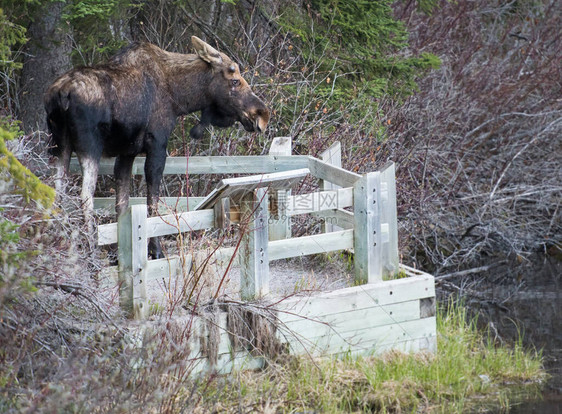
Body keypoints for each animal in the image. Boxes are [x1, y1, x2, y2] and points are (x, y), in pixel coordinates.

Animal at [46, 38, 270, 258]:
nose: (262, 114)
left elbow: (122, 204)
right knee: (85, 195)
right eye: (235, 80)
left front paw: (122, 252)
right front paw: (155, 250)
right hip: (90, 145)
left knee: (56, 192)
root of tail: (61, 93)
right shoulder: (157, 144)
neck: (179, 97)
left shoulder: (127, 152)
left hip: (58, 145)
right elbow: (152, 201)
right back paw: (91, 252)